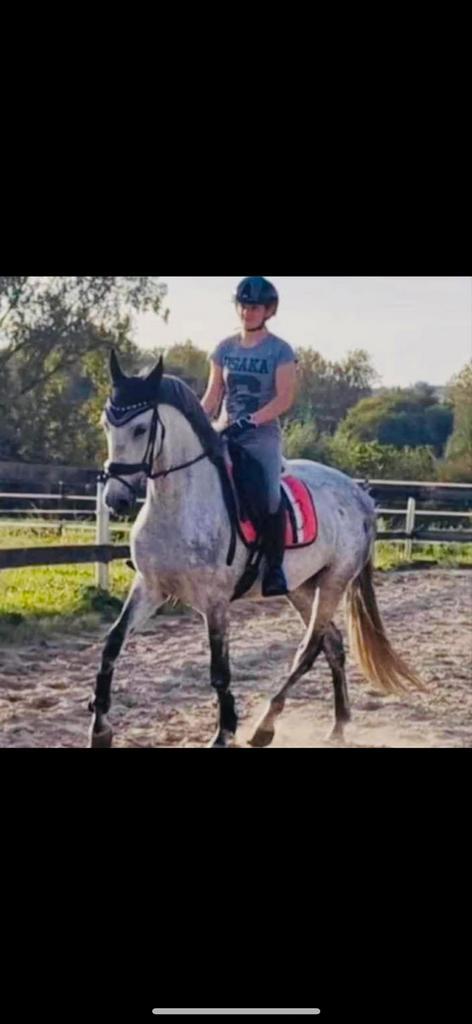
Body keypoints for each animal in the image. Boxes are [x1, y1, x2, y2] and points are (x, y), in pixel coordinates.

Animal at [88, 350, 424, 749]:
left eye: (140, 429)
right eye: (106, 425)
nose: (117, 499)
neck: (180, 504)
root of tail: (360, 495)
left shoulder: (215, 602)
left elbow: (220, 671)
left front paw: (223, 733)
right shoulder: (150, 587)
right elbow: (112, 644)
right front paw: (100, 729)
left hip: (334, 583)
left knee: (309, 648)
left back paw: (265, 725)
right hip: (300, 588)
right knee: (332, 643)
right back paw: (338, 725)